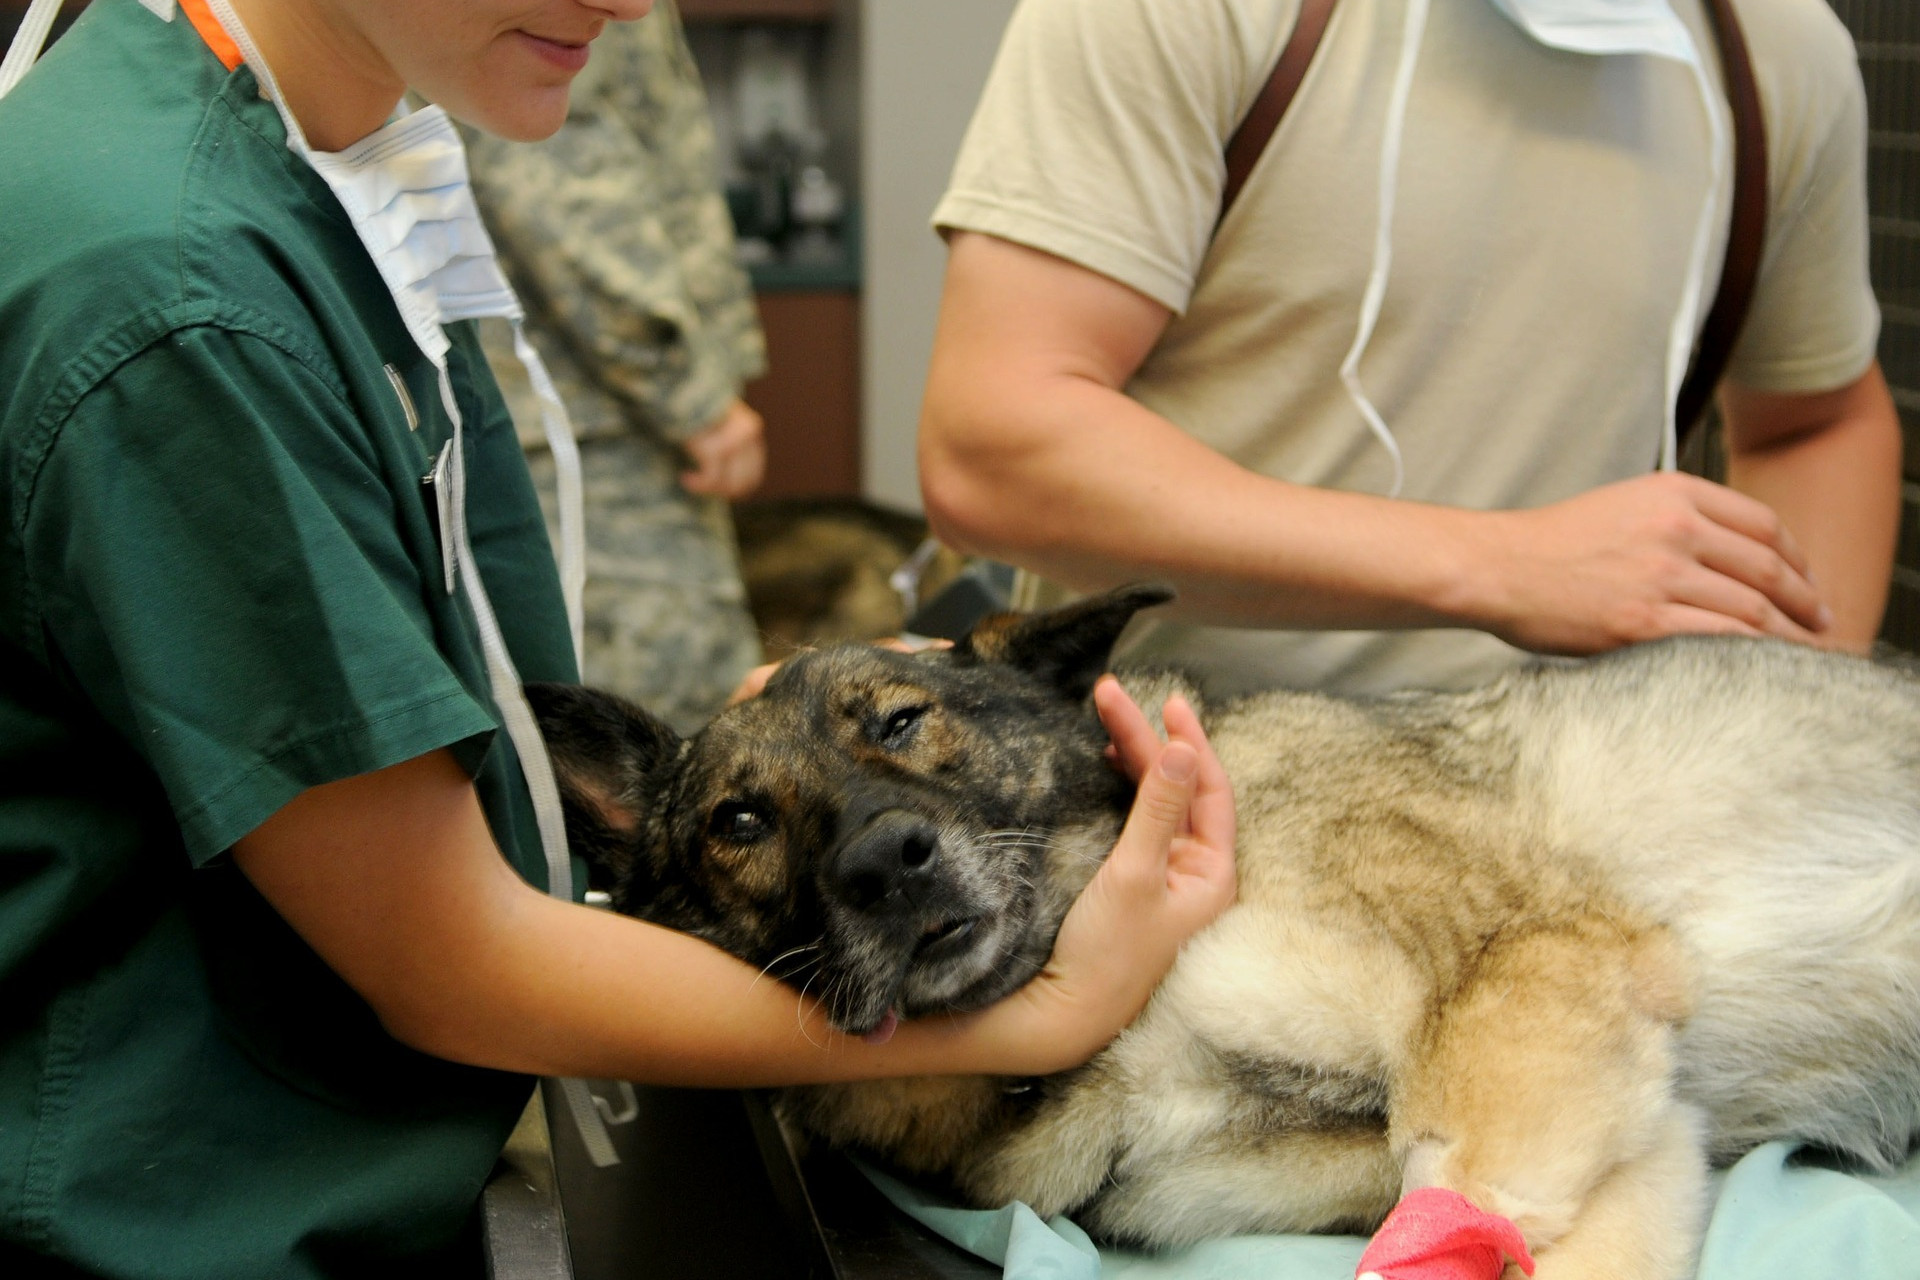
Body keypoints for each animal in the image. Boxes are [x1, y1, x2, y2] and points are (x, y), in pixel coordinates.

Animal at [526, 587, 1920, 1274]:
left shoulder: (1527, 978)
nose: (884, 862)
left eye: (903, 719)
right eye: (739, 818)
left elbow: (1468, 1186)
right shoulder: (1626, 1119)